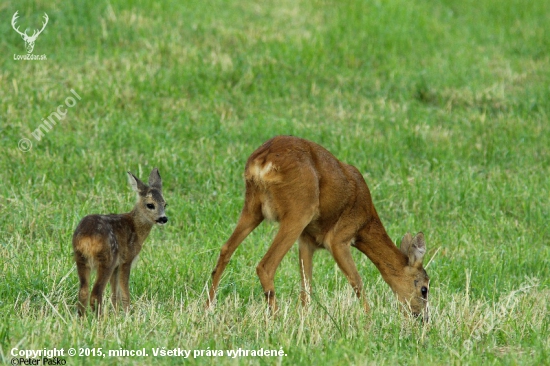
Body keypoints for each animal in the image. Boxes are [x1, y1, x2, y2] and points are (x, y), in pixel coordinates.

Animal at [73, 168, 168, 314]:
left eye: (165, 204)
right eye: (150, 205)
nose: (163, 218)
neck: (135, 227)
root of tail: (87, 237)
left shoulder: (117, 265)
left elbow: (114, 294)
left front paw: (117, 314)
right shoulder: (126, 259)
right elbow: (124, 292)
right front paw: (128, 313)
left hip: (81, 258)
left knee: (83, 291)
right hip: (107, 259)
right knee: (96, 293)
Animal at [209, 137, 434, 320]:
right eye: (424, 289)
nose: (423, 318)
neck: (365, 221)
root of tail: (262, 161)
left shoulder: (306, 240)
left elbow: (306, 286)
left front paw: (305, 318)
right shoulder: (339, 238)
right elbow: (357, 281)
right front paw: (370, 319)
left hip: (253, 207)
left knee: (226, 249)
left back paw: (208, 306)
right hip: (299, 210)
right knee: (266, 265)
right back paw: (276, 318)